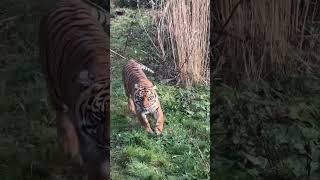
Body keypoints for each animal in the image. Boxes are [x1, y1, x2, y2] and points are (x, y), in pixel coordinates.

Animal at [38, 0, 110, 179]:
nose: (108, 141)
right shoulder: (91, 149)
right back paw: (69, 149)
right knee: (61, 116)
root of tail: (68, 2)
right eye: (99, 115)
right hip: (52, 86)